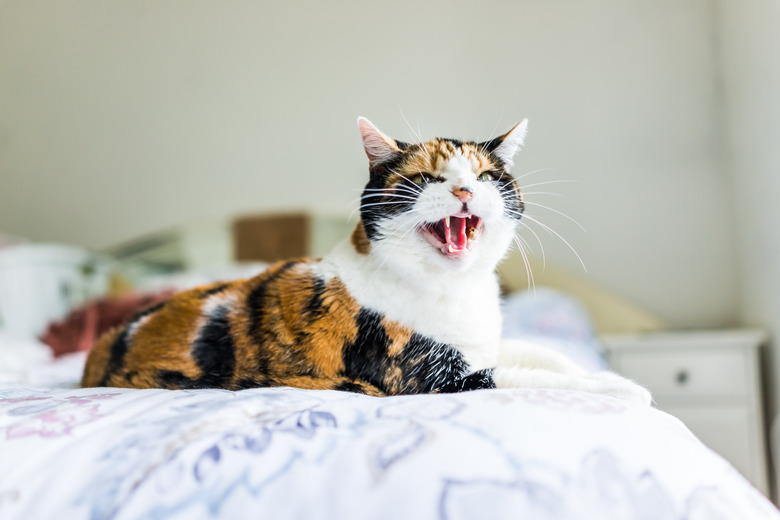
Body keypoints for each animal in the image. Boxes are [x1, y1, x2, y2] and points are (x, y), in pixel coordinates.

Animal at [79, 118, 652, 406]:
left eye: (487, 176)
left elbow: (544, 355)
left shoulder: (483, 344)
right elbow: (523, 378)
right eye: (426, 178)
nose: (465, 190)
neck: (453, 291)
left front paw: (600, 374)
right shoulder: (425, 377)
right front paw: (621, 389)